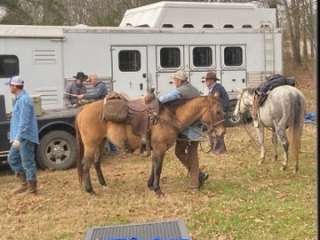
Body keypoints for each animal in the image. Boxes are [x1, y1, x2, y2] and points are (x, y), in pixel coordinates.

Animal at [75, 94, 225, 195]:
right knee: (85, 165)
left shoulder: (156, 150)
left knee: (96, 162)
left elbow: (153, 166)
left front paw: (150, 185)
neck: (168, 118)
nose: (222, 131)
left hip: (100, 143)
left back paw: (103, 184)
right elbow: (158, 168)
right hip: (91, 145)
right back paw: (90, 190)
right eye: (218, 111)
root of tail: (82, 111)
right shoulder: (160, 148)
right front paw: (158, 190)